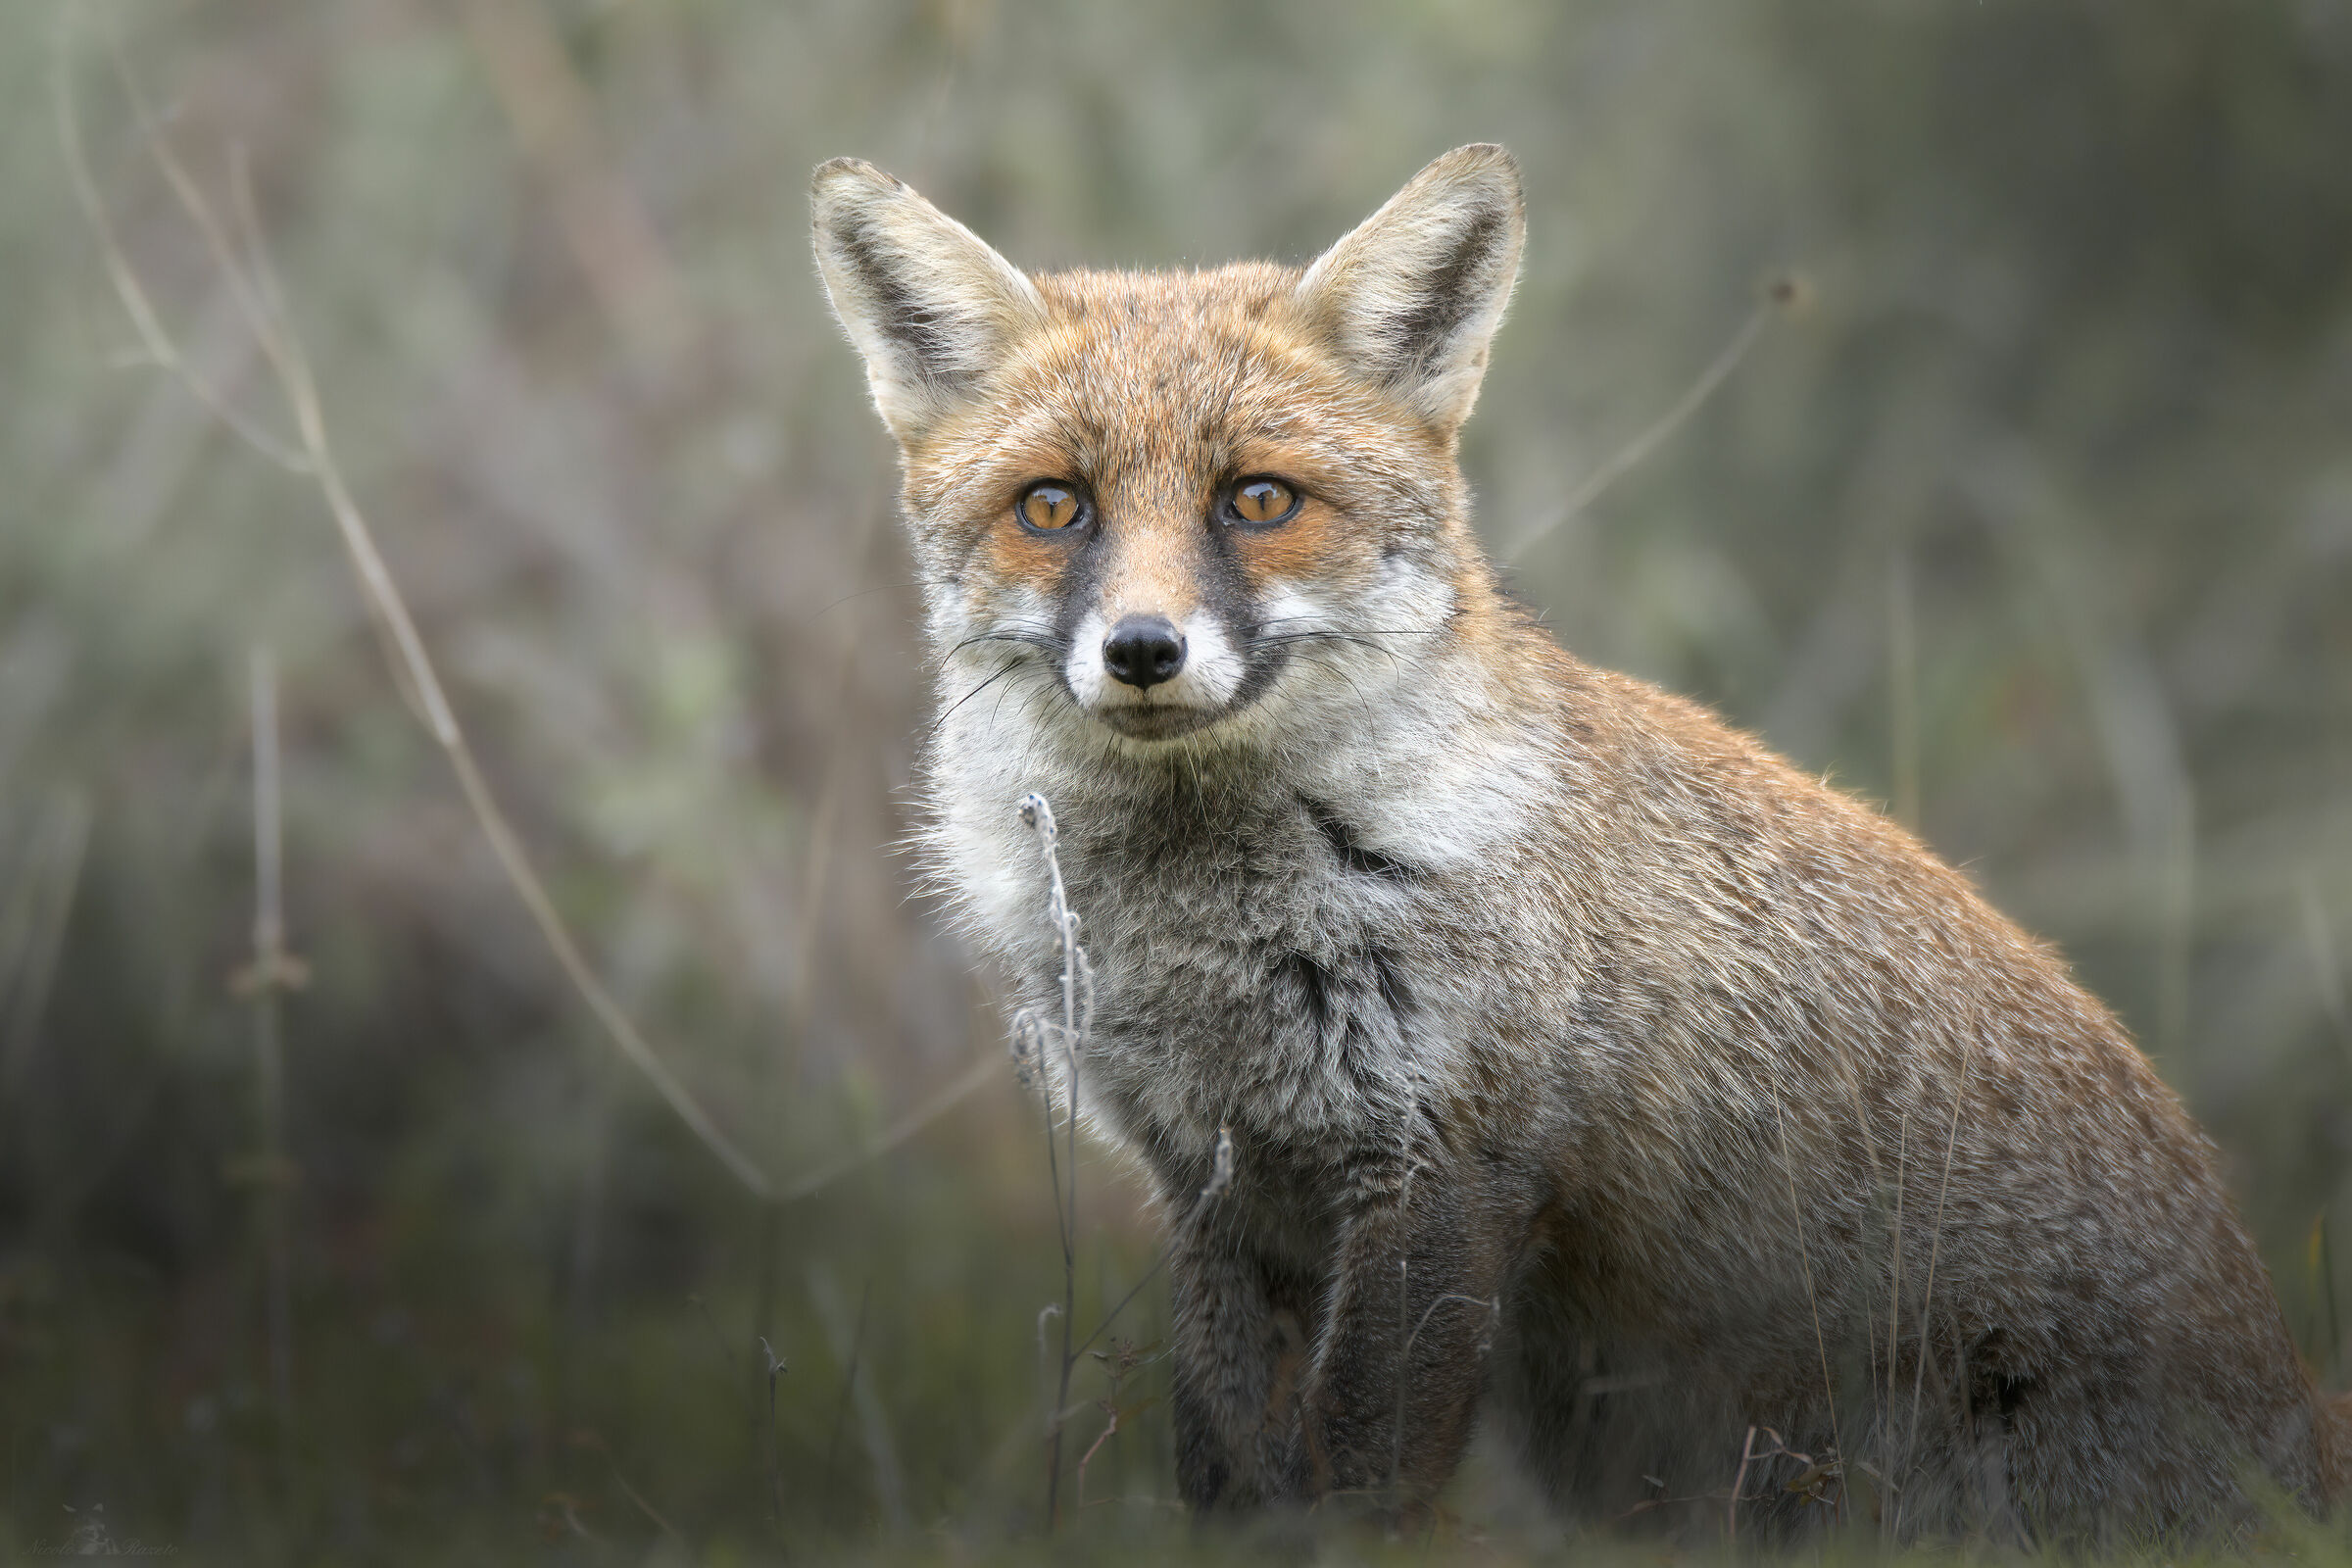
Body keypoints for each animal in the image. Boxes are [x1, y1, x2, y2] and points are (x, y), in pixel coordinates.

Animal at [810, 144, 2346, 1540]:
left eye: (1257, 499)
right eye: (1052, 506)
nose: (1141, 650)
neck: (1217, 933)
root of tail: (2284, 1388)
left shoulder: (1442, 1168)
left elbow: (1355, 1490)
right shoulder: (1220, 1189)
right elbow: (1231, 1485)